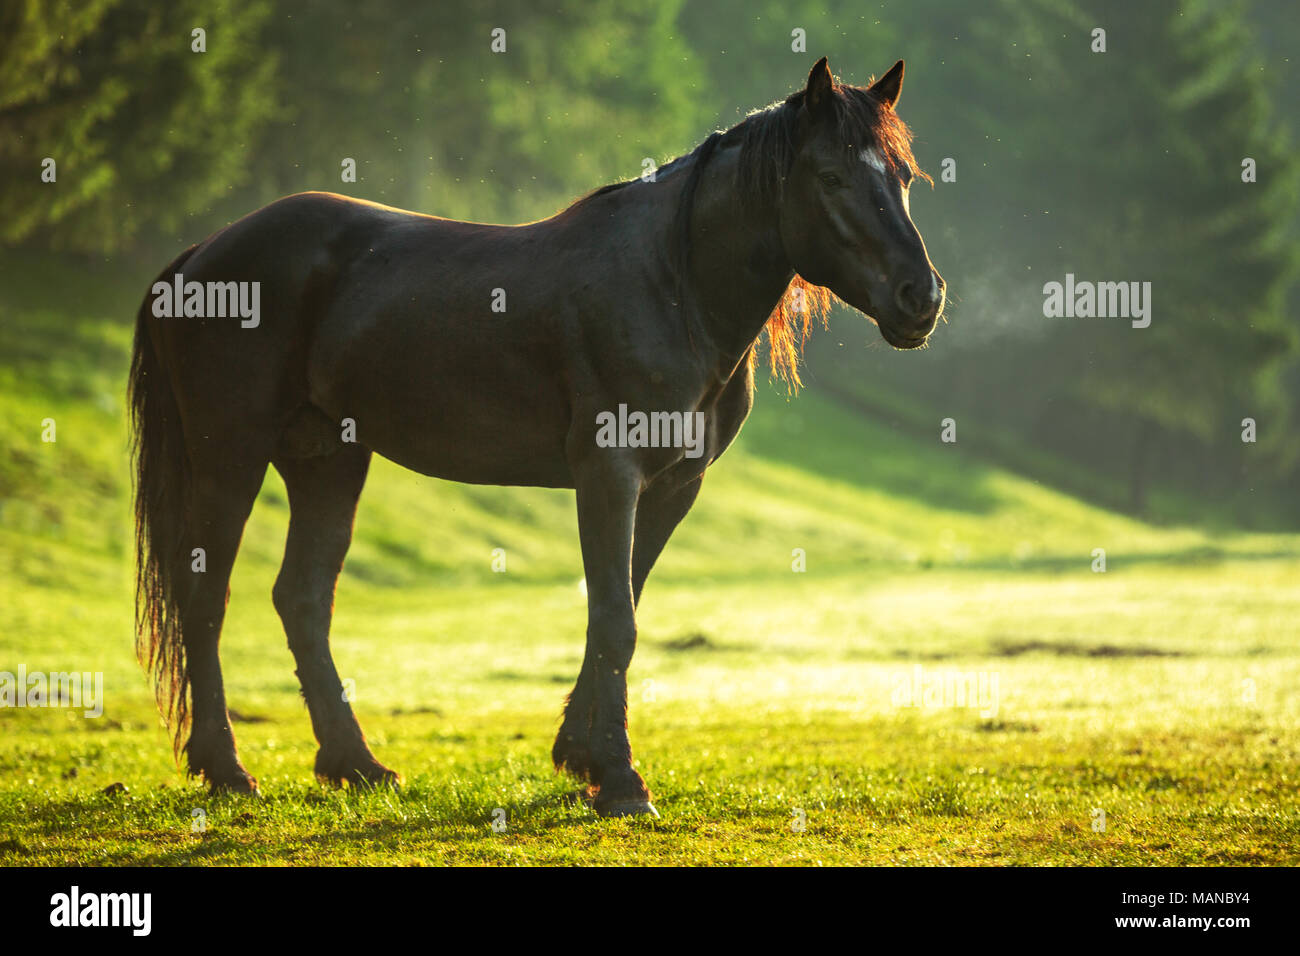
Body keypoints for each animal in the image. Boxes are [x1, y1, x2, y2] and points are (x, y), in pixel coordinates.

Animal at [129, 56, 944, 818]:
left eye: (904, 176)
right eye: (831, 177)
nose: (922, 297)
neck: (669, 285)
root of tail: (200, 257)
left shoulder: (672, 487)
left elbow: (620, 609)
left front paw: (581, 755)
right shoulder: (608, 475)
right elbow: (614, 620)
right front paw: (620, 780)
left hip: (327, 460)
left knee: (301, 599)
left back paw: (355, 765)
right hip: (231, 456)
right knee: (206, 596)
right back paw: (227, 770)